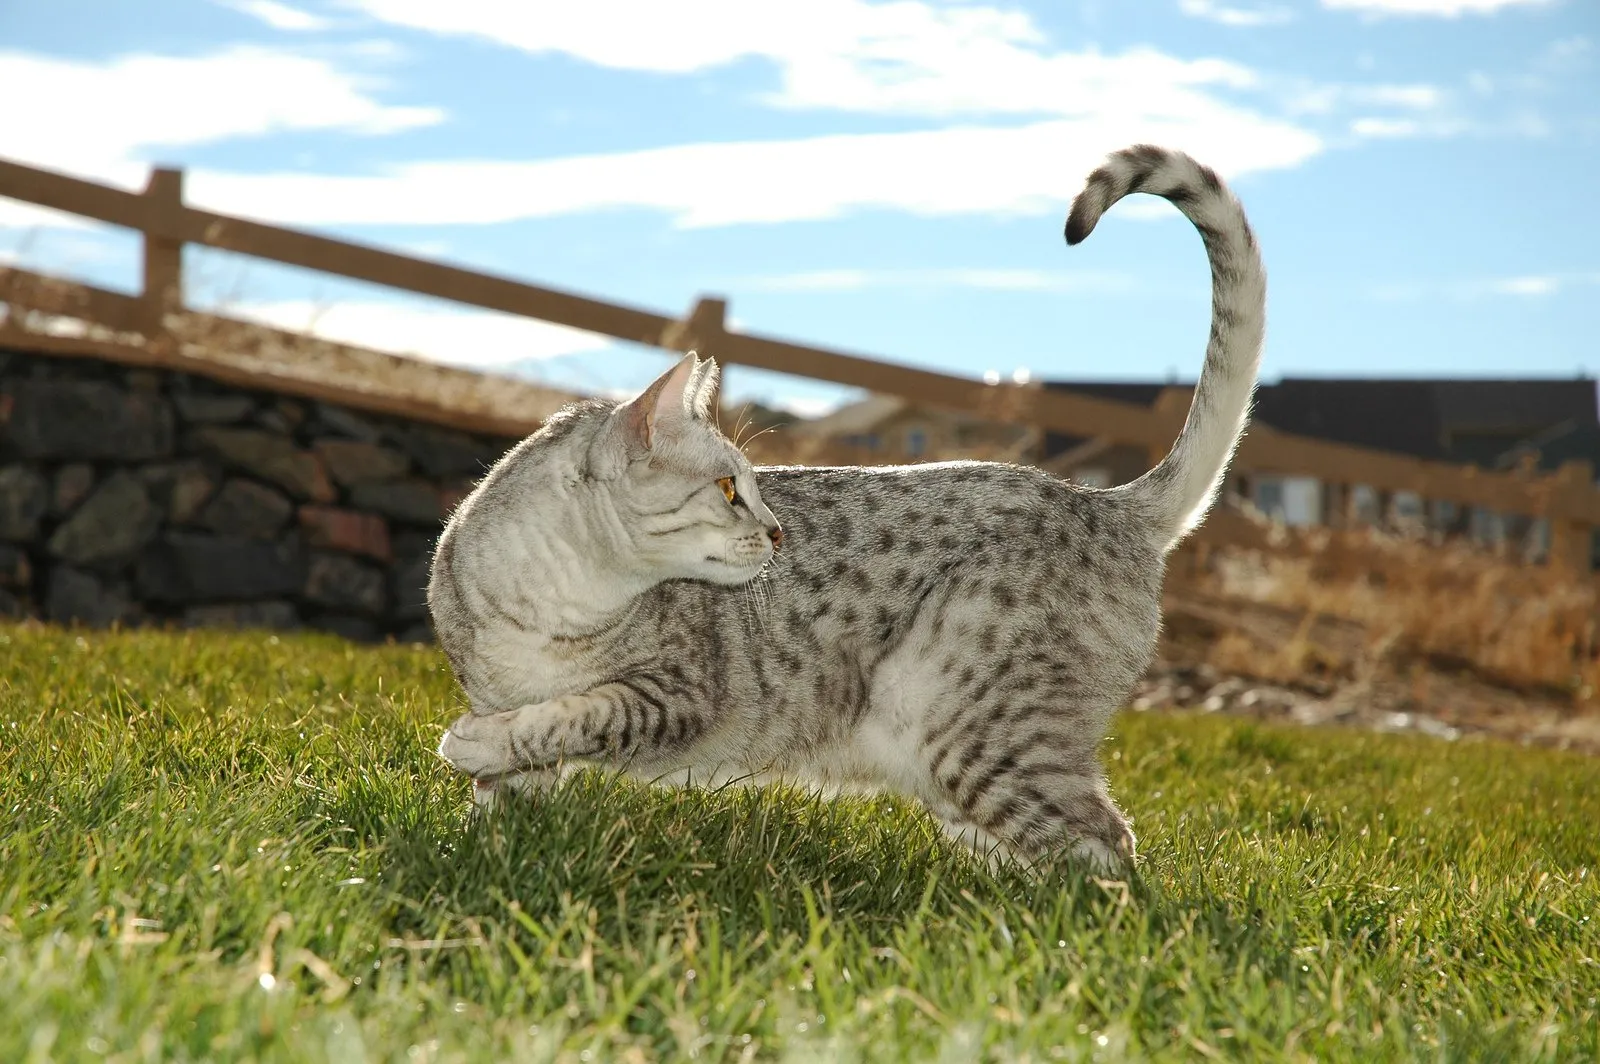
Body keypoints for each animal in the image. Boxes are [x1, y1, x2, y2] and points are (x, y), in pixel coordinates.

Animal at [428, 143, 1260, 870]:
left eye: (755, 486)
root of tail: (1108, 503)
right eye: (730, 489)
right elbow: (513, 783)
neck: (552, 606)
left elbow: (576, 715)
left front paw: (472, 743)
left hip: (975, 730)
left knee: (1108, 848)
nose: (776, 531)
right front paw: (487, 848)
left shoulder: (679, 694)